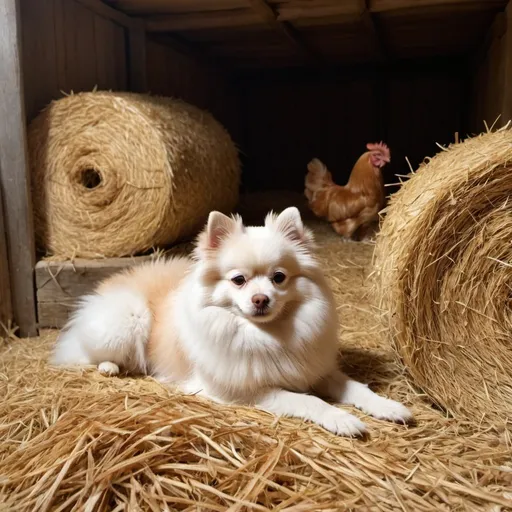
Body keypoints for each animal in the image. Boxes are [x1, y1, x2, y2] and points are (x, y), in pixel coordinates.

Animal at [51, 206, 412, 434]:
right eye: (238, 280)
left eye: (279, 278)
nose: (261, 299)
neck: (268, 335)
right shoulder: (246, 391)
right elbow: (305, 399)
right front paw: (341, 419)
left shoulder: (315, 369)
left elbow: (355, 388)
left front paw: (388, 407)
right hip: (127, 321)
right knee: (85, 353)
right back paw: (110, 367)